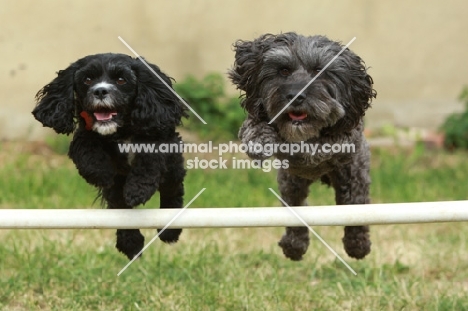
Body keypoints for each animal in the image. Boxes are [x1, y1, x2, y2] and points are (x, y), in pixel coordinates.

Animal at [33, 53, 187, 260]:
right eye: (87, 79)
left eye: (121, 79)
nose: (100, 91)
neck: (121, 131)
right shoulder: (85, 135)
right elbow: (86, 150)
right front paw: (101, 173)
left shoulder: (163, 139)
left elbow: (150, 160)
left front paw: (138, 190)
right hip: (116, 189)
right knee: (120, 208)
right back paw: (131, 244)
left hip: (173, 171)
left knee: (173, 191)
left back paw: (169, 232)